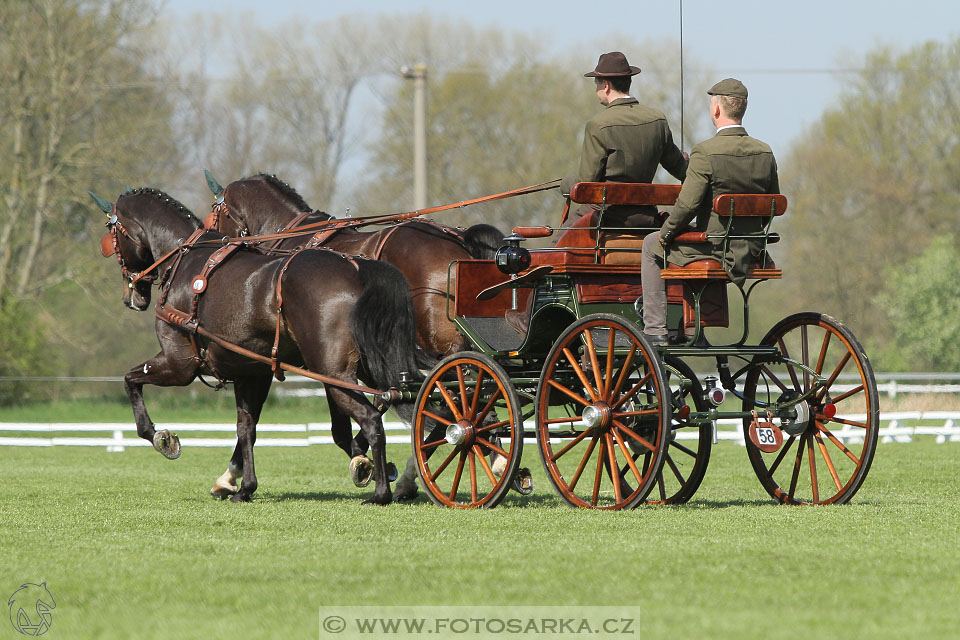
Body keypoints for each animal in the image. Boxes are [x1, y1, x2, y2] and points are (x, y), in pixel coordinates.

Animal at [98, 188, 428, 502]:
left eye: (112, 234)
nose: (132, 295)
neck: (186, 260)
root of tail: (357, 268)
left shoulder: (179, 365)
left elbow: (131, 380)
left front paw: (161, 438)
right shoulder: (251, 373)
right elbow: (247, 429)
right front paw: (244, 487)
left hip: (333, 373)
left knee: (373, 418)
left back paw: (382, 492)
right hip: (369, 367)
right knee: (408, 401)